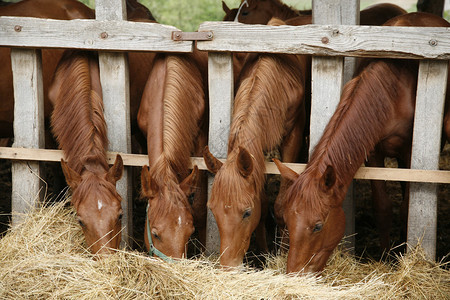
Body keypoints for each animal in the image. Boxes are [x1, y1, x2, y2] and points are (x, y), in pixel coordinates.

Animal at [202, 18, 308, 268]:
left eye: (246, 213)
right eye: (213, 209)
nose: (228, 265)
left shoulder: (293, 136)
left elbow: (281, 203)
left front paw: (283, 249)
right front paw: (262, 254)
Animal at [272, 12, 450, 274]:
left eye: (317, 226)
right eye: (286, 219)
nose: (295, 273)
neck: (393, 90)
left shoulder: (409, 153)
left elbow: (406, 207)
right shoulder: (373, 152)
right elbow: (382, 207)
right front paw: (385, 255)